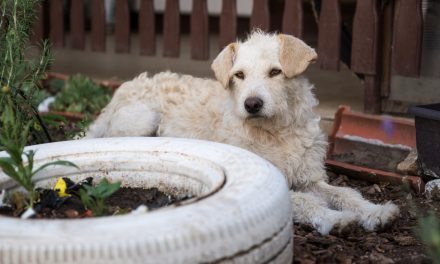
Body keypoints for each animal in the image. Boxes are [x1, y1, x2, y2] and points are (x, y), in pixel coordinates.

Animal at [85, 31, 398, 235]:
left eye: (275, 72)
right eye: (239, 75)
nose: (252, 104)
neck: (276, 132)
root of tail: (121, 90)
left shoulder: (309, 178)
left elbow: (346, 192)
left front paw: (375, 212)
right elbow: (304, 201)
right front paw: (333, 218)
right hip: (143, 119)